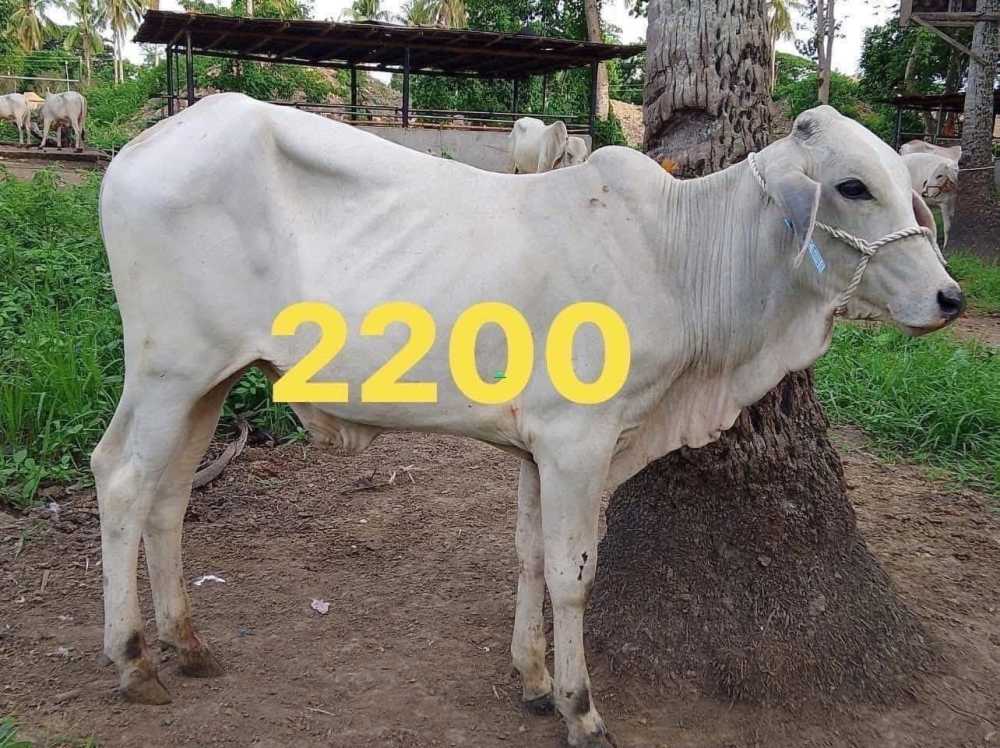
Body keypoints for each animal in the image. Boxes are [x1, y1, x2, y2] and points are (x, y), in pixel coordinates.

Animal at [95, 95, 962, 747]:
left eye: (905, 182)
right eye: (853, 186)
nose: (950, 298)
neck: (677, 255)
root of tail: (138, 149)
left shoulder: (533, 448)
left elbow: (526, 555)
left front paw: (535, 678)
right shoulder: (579, 441)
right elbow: (572, 574)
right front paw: (581, 708)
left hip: (209, 379)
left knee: (168, 496)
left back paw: (187, 644)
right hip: (172, 370)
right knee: (124, 480)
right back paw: (134, 660)